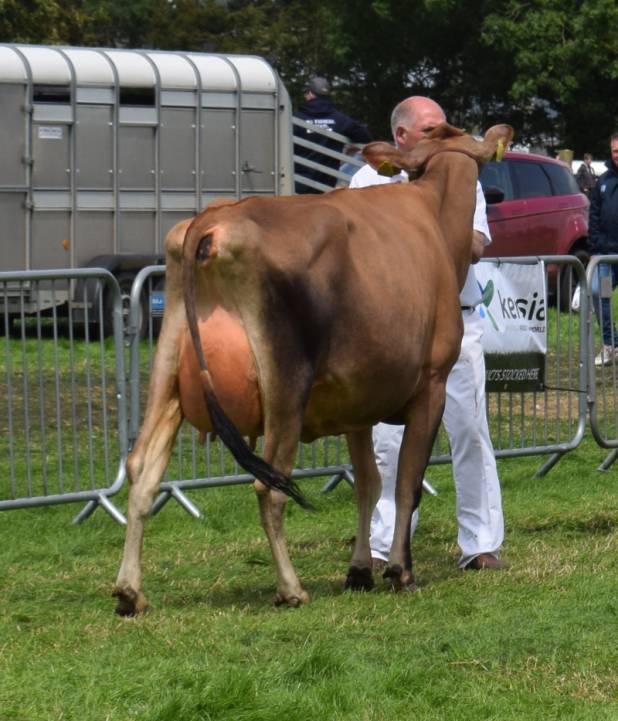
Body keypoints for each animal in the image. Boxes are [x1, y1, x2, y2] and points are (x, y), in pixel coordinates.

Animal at [113, 122, 512, 612]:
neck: (434, 214)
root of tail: (213, 220)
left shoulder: (357, 402)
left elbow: (369, 484)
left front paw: (360, 570)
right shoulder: (432, 385)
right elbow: (406, 484)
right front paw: (401, 571)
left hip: (168, 375)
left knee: (142, 472)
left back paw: (130, 592)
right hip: (286, 384)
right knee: (269, 487)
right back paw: (290, 588)